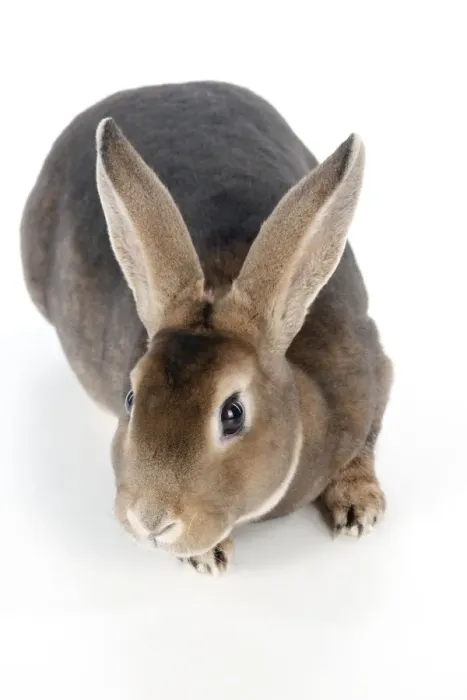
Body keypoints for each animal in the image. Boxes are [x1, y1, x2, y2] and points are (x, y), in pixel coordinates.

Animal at [21, 81, 392, 575]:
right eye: (130, 398)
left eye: (232, 414)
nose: (150, 520)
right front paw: (208, 556)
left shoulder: (375, 373)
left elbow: (367, 440)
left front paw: (358, 509)